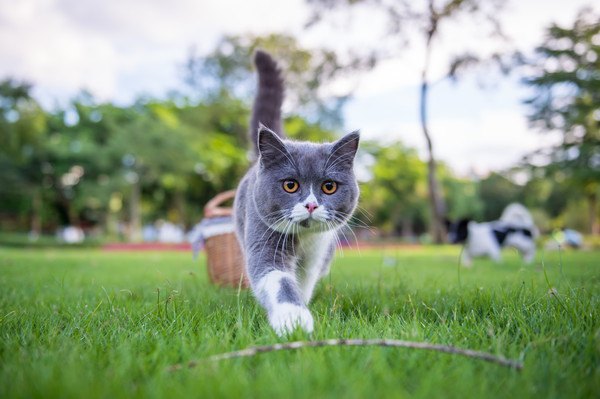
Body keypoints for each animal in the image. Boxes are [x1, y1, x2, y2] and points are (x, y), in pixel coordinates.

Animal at [232, 50, 358, 338]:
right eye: (290, 185)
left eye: (329, 186)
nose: (311, 205)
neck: (303, 240)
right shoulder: (264, 239)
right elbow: (278, 279)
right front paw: (294, 320)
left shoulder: (317, 254)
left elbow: (303, 282)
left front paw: (300, 310)